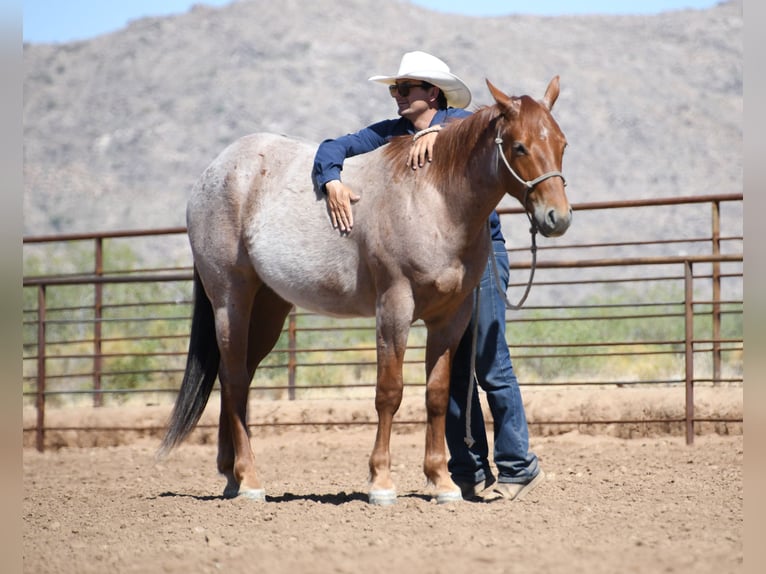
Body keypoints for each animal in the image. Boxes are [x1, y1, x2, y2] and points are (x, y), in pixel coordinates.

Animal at [159, 77, 572, 505]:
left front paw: (442, 483)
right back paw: (250, 480)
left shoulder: (451, 317)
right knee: (234, 378)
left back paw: (231, 476)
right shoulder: (394, 307)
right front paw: (381, 483)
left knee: (237, 378)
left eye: (562, 144)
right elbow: (389, 392)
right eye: (519, 146)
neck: (433, 198)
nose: (557, 218)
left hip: (268, 307)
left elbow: (438, 394)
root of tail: (214, 171)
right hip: (230, 298)